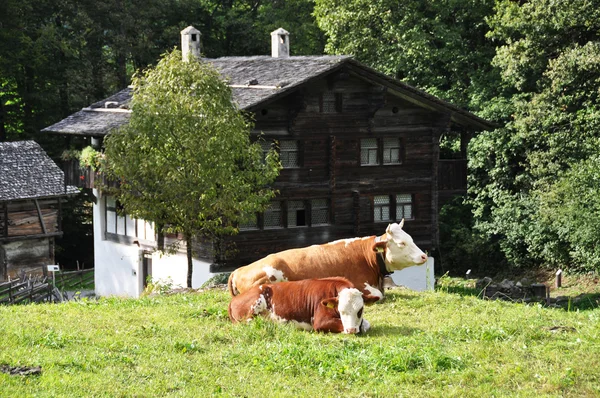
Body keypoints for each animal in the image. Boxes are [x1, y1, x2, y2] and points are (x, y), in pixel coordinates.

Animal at [227, 221, 428, 298]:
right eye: (402, 243)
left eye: (411, 238)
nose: (424, 255)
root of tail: (238, 270)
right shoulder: (359, 284)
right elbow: (377, 294)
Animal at [229, 278, 380, 334]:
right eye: (341, 311)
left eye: (360, 310)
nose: (351, 330)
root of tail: (234, 299)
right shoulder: (320, 321)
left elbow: (366, 325)